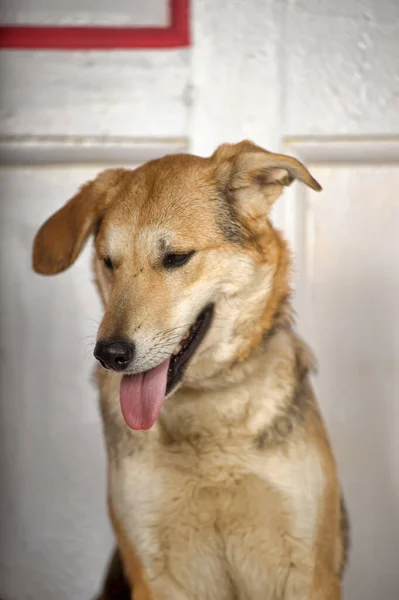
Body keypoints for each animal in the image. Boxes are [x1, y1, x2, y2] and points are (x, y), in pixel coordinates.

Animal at [32, 142, 350, 600]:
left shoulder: (310, 571)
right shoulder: (153, 572)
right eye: (108, 262)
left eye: (177, 258)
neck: (207, 413)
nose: (109, 354)